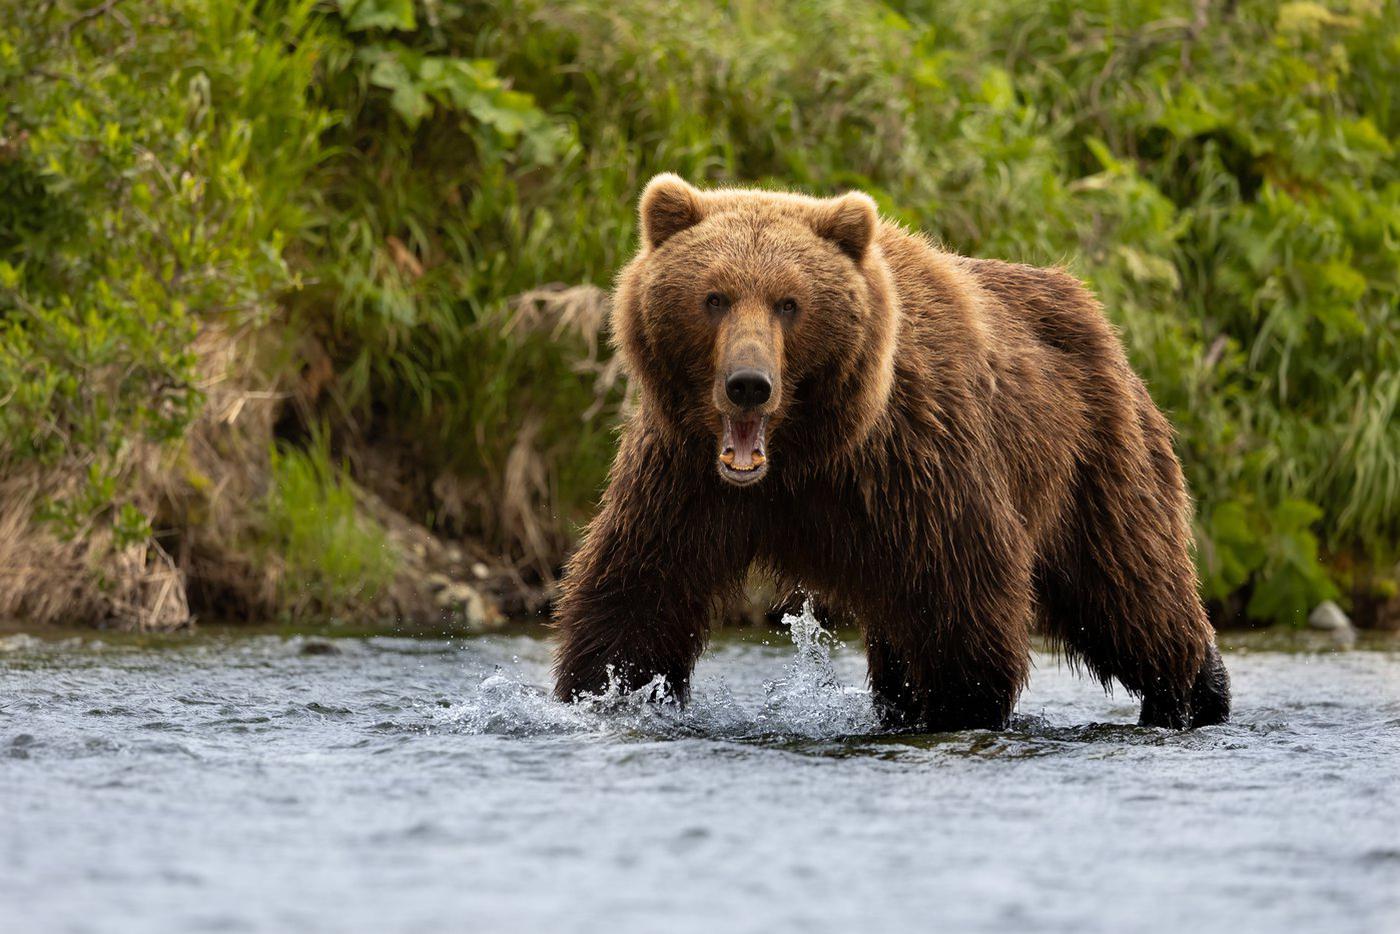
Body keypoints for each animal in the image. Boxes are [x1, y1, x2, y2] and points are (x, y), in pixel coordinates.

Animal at [552, 174, 1231, 731]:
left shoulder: (919, 462)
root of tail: (1097, 315)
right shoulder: (683, 478)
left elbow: (963, 605)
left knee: (1131, 591)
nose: (748, 383)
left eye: (789, 303)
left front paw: (960, 707)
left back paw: (1195, 693)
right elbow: (638, 594)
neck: (803, 455)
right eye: (713, 297)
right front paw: (602, 692)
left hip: (1093, 458)